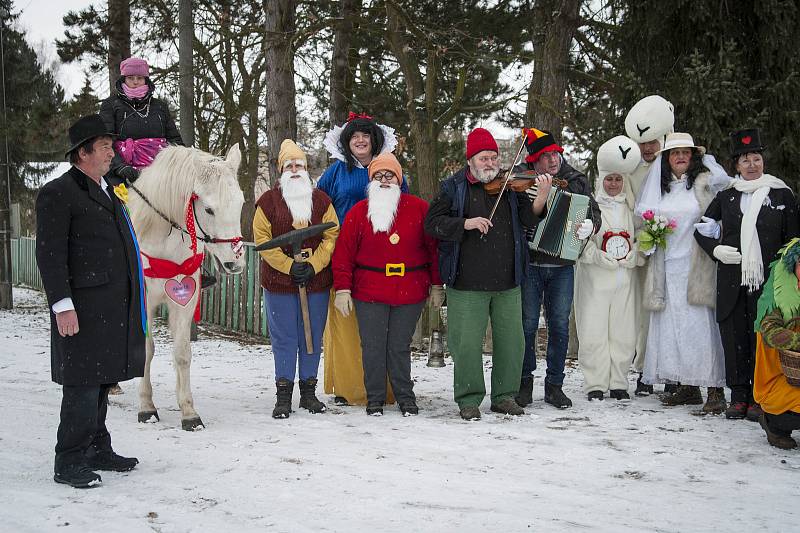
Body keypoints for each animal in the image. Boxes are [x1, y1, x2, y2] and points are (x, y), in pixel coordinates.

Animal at [128, 143, 245, 430]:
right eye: (209, 209)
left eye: (240, 203)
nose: (234, 262)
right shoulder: (144, 302)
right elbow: (145, 350)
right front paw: (146, 407)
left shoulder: (185, 297)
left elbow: (182, 353)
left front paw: (189, 412)